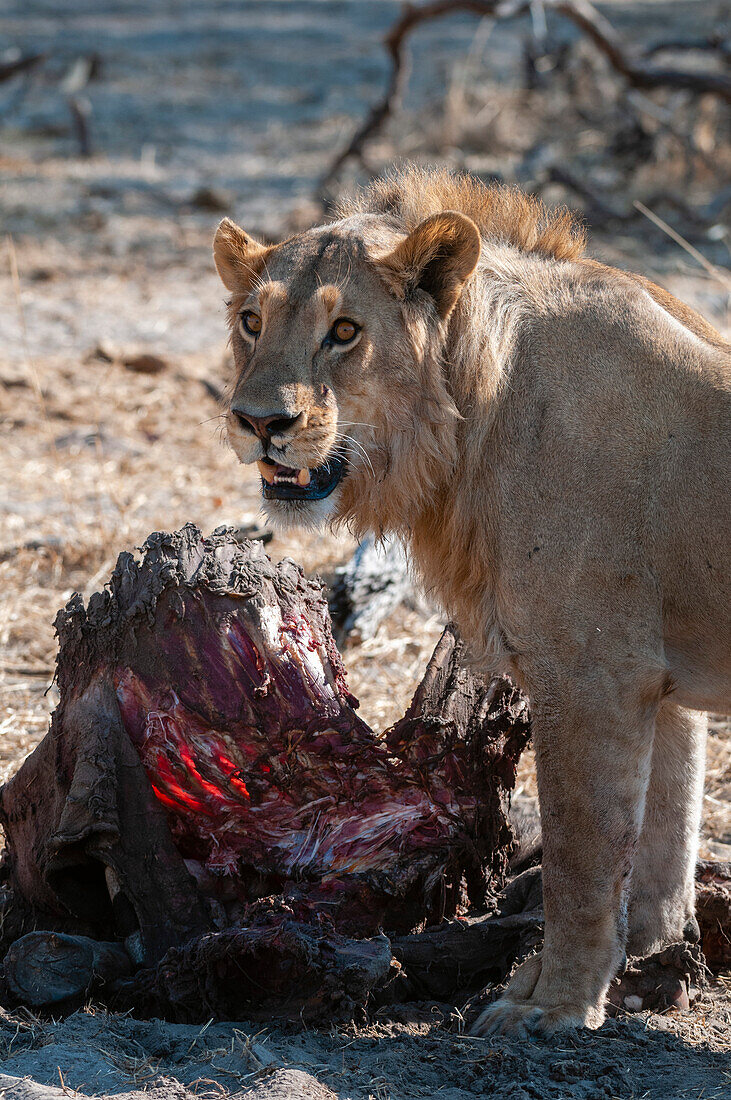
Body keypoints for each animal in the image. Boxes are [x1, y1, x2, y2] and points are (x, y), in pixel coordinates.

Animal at [212, 165, 729, 1038]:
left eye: (344, 332)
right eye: (251, 321)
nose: (259, 422)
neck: (466, 427)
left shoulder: (592, 677)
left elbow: (580, 858)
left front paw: (553, 1006)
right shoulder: (657, 678)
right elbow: (662, 839)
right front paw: (644, 966)